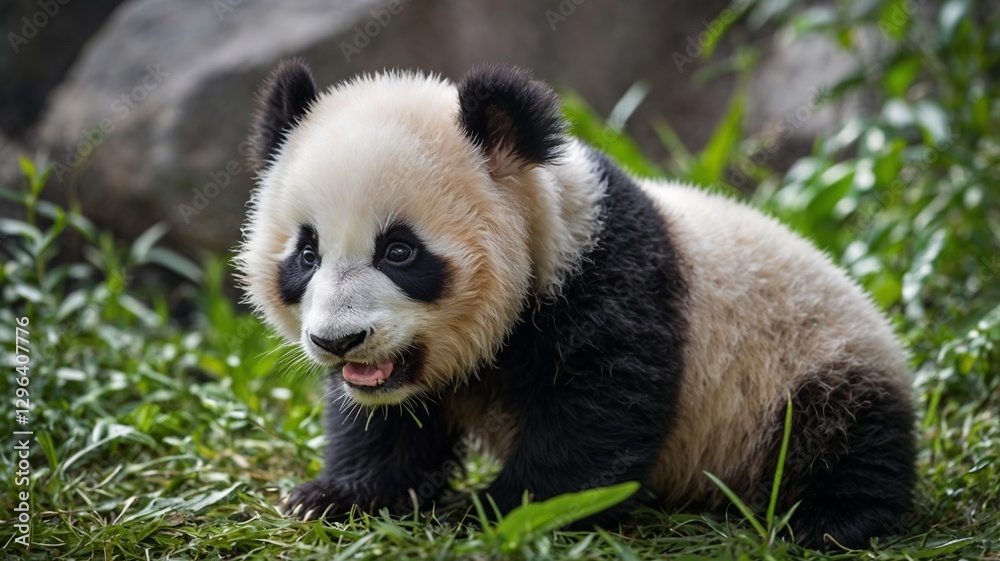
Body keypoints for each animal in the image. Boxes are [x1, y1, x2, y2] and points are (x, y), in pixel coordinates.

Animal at [235, 60, 916, 550]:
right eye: (306, 254)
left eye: (399, 251)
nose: (337, 340)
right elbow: (389, 427)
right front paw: (332, 495)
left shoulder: (611, 282)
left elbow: (598, 414)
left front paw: (494, 510)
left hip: (808, 360)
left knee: (845, 435)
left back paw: (829, 520)